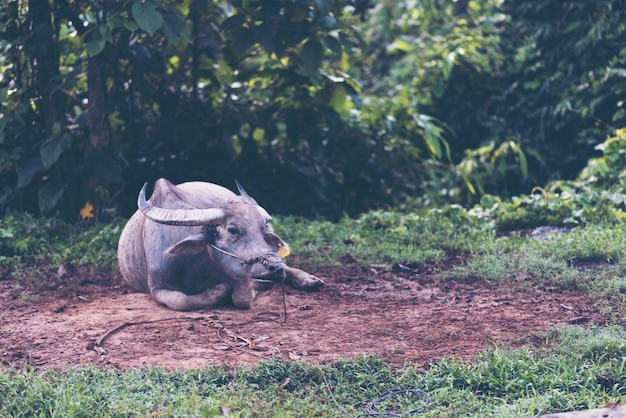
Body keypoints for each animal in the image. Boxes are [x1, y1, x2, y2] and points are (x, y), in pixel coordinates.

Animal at [116, 178, 322, 312]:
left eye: (263, 228)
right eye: (232, 230)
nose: (274, 267)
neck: (195, 266)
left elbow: (241, 297)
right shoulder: (156, 287)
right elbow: (182, 300)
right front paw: (219, 290)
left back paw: (310, 280)